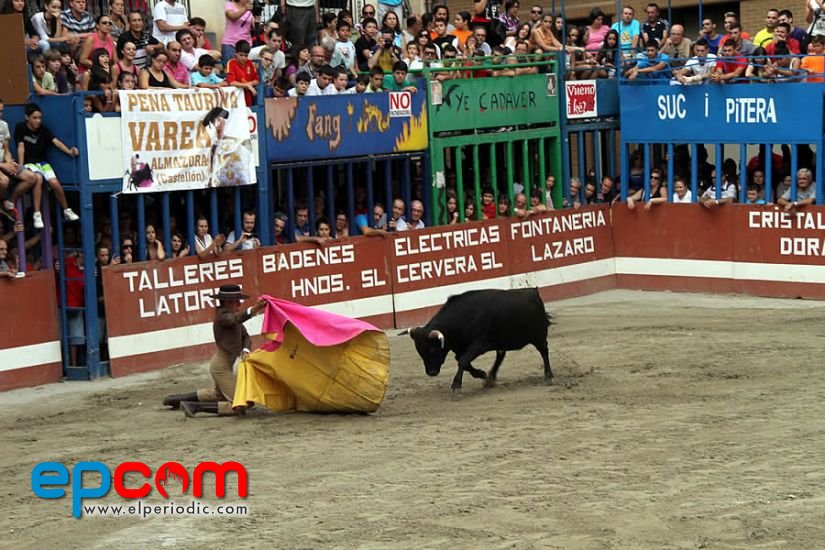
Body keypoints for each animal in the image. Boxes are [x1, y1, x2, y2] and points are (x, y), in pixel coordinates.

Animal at [400, 288, 552, 392]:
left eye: (432, 348)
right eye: (420, 351)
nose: (431, 372)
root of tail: (533, 292)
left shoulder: (478, 345)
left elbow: (463, 361)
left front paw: (456, 385)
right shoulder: (460, 348)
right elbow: (464, 362)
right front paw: (482, 374)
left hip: (539, 336)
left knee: (544, 351)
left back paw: (548, 376)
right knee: (500, 355)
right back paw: (490, 379)